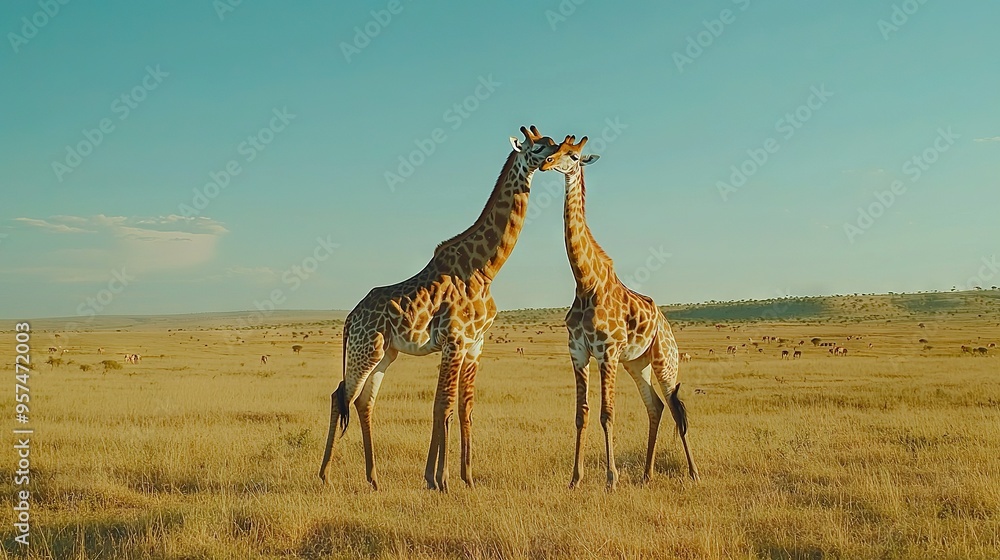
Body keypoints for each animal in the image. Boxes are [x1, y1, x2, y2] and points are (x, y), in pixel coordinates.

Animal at [319, 126, 559, 492]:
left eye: (551, 140)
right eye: (536, 147)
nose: (559, 154)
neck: (485, 269)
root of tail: (349, 318)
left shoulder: (475, 345)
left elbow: (462, 408)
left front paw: (465, 478)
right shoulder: (454, 341)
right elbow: (443, 406)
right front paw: (441, 480)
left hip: (385, 354)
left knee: (362, 401)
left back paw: (374, 479)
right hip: (365, 351)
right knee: (340, 396)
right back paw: (325, 476)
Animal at [539, 135, 699, 489]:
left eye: (574, 155)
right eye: (553, 148)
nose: (545, 164)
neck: (586, 282)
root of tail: (666, 325)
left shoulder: (607, 351)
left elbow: (607, 413)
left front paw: (611, 479)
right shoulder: (578, 352)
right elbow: (582, 413)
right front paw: (575, 479)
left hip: (664, 361)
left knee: (674, 406)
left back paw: (694, 472)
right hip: (637, 364)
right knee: (655, 406)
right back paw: (646, 474)